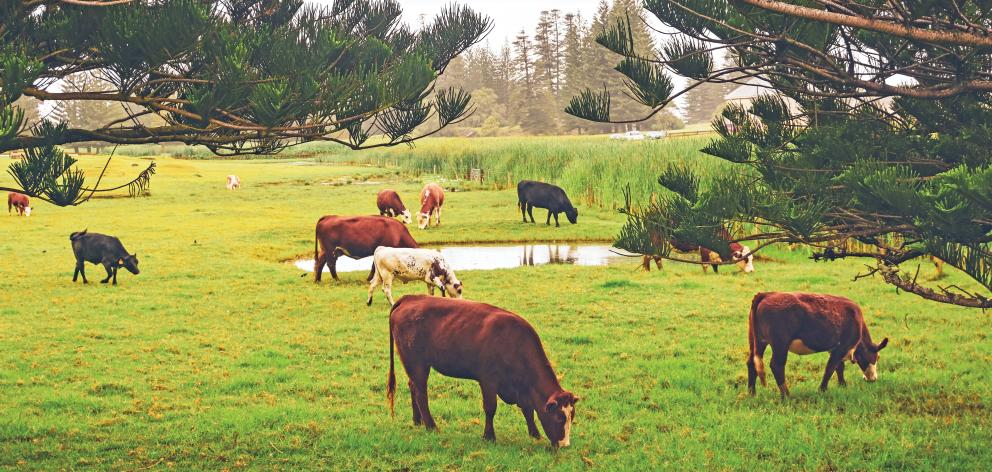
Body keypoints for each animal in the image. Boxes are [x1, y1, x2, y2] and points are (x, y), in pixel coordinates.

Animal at [384, 296, 576, 448]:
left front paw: (535, 434)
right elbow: (490, 408)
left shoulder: (520, 387)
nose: (565, 445)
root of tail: (410, 298)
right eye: (559, 418)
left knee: (412, 386)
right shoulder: (489, 380)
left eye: (571, 417)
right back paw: (431, 426)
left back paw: (417, 420)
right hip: (417, 363)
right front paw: (489, 436)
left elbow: (528, 409)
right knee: (421, 393)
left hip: (413, 364)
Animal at [744, 294, 892, 396]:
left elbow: (839, 367)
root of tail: (767, 294)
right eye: (877, 357)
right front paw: (822, 389)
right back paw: (786, 395)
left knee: (751, 362)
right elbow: (830, 368)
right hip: (780, 344)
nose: (872, 378)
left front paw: (842, 385)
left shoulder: (835, 348)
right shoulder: (841, 348)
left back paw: (752, 393)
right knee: (777, 365)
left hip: (757, 342)